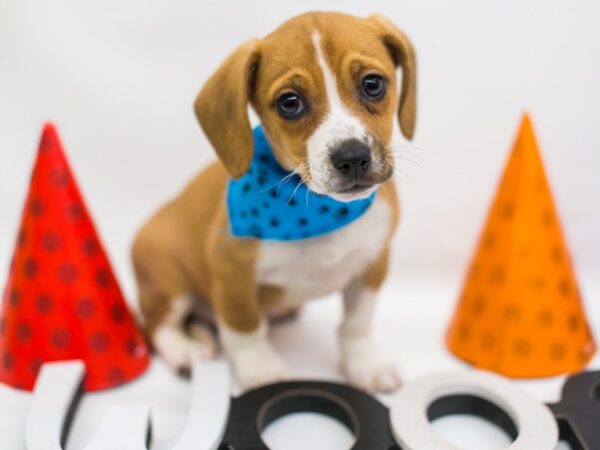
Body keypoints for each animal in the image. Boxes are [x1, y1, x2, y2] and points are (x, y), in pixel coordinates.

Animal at [131, 12, 414, 392]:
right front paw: (262, 371)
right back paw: (185, 350)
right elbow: (246, 328)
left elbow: (356, 323)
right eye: (289, 103)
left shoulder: (372, 262)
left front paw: (365, 364)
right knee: (157, 324)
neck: (317, 209)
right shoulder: (231, 273)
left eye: (372, 83)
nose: (352, 157)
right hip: (166, 279)